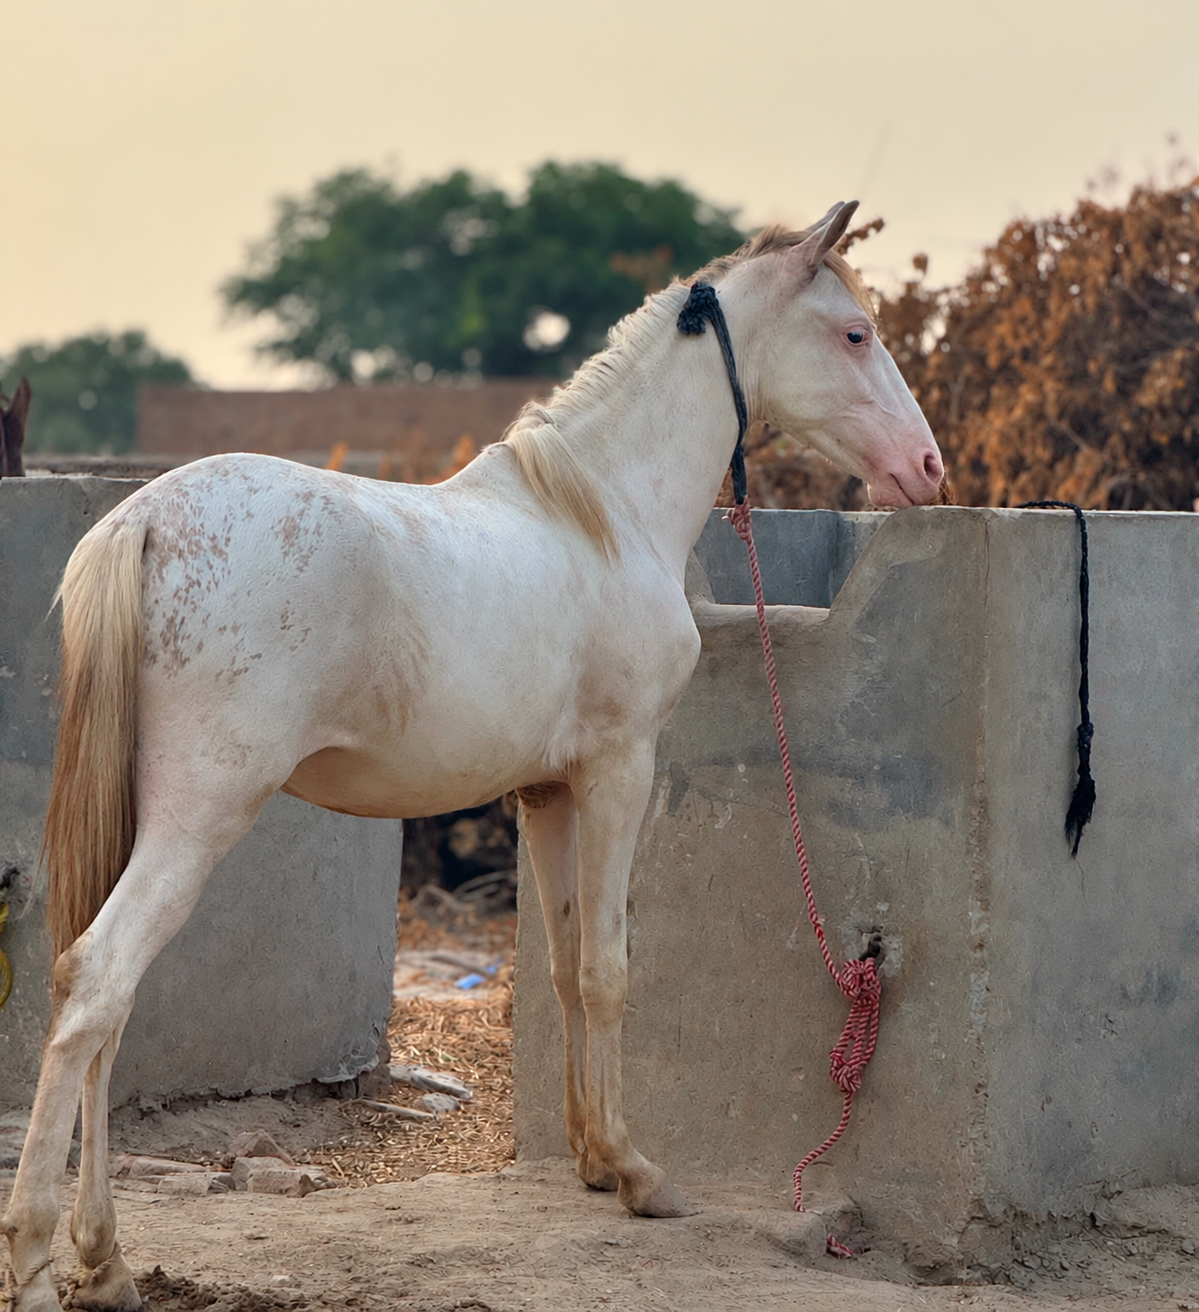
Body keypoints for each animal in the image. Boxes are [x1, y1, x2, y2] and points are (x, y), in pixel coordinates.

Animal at [2, 201, 944, 1312]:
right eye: (854, 333)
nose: (927, 469)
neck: (601, 513)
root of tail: (144, 519)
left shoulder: (546, 794)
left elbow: (565, 966)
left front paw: (592, 1159)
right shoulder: (618, 771)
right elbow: (610, 968)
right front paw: (639, 1175)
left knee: (100, 1008)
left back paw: (102, 1260)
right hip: (198, 819)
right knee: (99, 982)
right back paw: (37, 1255)